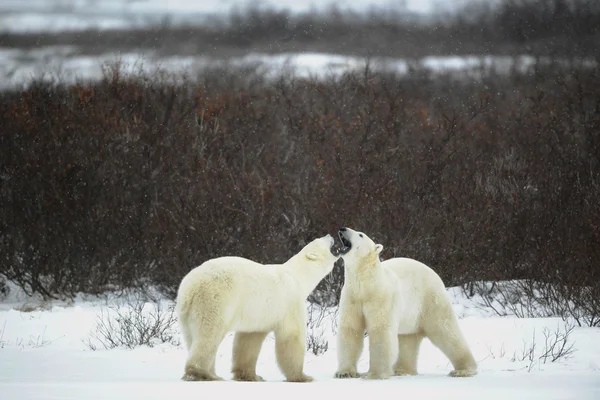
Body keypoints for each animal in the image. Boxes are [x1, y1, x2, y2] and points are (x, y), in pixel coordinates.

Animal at [176, 234, 340, 384]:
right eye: (321, 239)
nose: (330, 235)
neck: (299, 276)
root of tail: (191, 287)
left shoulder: (259, 313)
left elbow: (249, 340)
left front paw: (251, 376)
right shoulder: (291, 303)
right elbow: (291, 336)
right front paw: (303, 377)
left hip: (186, 312)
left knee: (191, 337)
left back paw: (211, 373)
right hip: (216, 300)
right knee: (209, 334)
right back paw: (201, 373)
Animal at [332, 227, 478, 380]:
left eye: (360, 234)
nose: (342, 228)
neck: (366, 284)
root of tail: (436, 274)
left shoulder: (381, 297)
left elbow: (380, 329)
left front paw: (374, 374)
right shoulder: (352, 297)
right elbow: (350, 329)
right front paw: (344, 372)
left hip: (430, 299)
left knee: (445, 330)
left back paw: (463, 370)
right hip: (411, 315)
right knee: (407, 339)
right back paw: (402, 370)